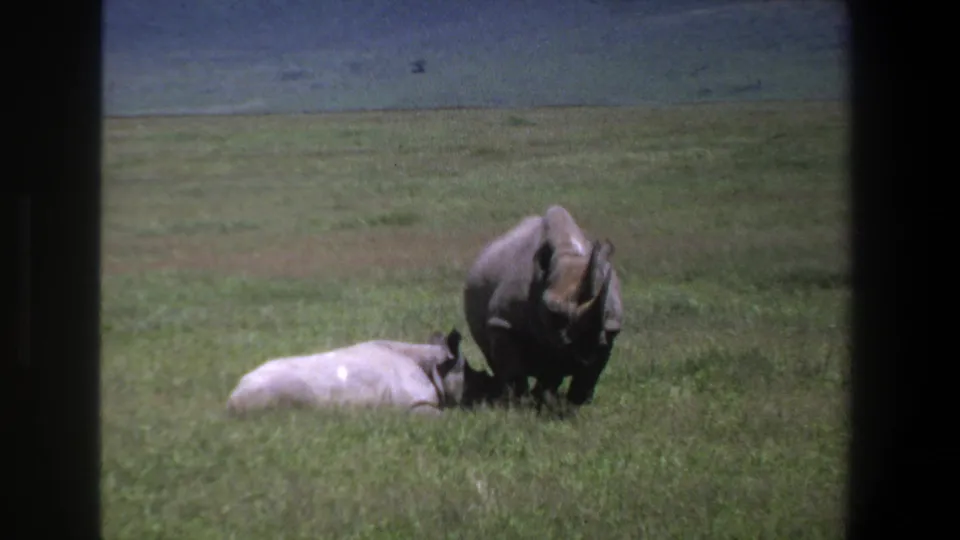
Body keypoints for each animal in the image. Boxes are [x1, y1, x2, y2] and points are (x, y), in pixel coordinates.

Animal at [226, 328, 498, 416]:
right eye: (476, 380)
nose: (495, 391)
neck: (435, 365)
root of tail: (233, 394)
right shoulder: (416, 403)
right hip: (269, 389)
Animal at [463, 205, 623, 413]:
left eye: (605, 312)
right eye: (554, 314)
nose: (584, 349)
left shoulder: (609, 329)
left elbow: (589, 373)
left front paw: (576, 406)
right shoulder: (502, 322)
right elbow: (513, 367)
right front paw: (518, 405)